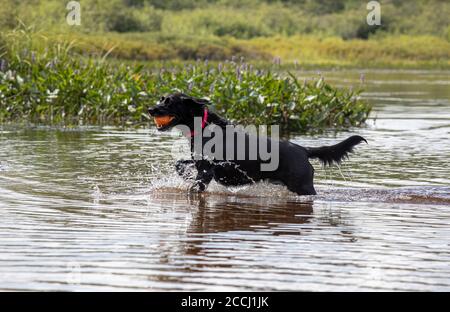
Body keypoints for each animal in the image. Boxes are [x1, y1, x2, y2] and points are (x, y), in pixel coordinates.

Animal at [149, 92, 368, 195]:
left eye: (169, 102)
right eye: (161, 98)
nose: (151, 109)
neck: (203, 126)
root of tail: (303, 150)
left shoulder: (206, 171)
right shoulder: (199, 163)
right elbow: (179, 163)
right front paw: (183, 174)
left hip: (303, 186)